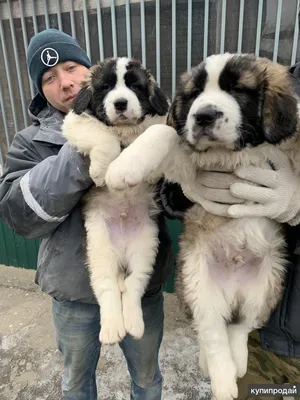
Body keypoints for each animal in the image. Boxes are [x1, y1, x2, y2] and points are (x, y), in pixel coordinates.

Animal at [61, 56, 169, 344]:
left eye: (135, 86)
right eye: (105, 87)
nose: (120, 103)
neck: (124, 131)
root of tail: (120, 254)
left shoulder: (160, 123)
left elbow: (155, 134)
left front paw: (135, 170)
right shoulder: (75, 122)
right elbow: (102, 135)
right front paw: (101, 171)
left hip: (145, 247)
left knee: (132, 285)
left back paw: (133, 324)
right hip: (98, 248)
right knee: (107, 287)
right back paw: (111, 328)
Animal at [104, 54, 300, 400]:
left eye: (237, 90)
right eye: (194, 95)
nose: (204, 116)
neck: (236, 154)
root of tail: (232, 290)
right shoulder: (186, 158)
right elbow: (165, 132)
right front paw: (122, 168)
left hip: (267, 285)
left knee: (239, 327)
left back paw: (235, 366)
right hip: (197, 279)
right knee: (212, 330)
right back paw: (221, 377)